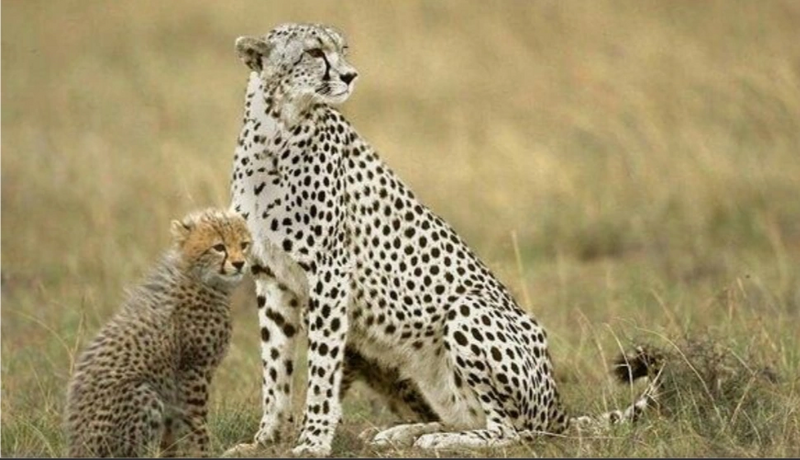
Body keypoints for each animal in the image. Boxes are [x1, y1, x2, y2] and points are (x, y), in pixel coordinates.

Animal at [64, 208, 252, 457]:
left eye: (244, 244)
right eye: (219, 247)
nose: (239, 263)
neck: (198, 277)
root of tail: (76, 447)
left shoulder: (174, 385)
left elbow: (170, 435)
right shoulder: (194, 371)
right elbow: (197, 423)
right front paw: (203, 452)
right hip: (142, 392)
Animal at [224, 23, 662, 457]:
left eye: (342, 49)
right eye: (314, 52)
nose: (350, 76)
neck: (274, 129)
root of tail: (559, 411)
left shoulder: (329, 272)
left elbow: (322, 367)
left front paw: (313, 440)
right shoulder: (272, 278)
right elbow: (275, 367)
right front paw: (265, 440)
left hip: (467, 311)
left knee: (512, 431)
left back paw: (440, 439)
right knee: (473, 417)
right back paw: (406, 432)